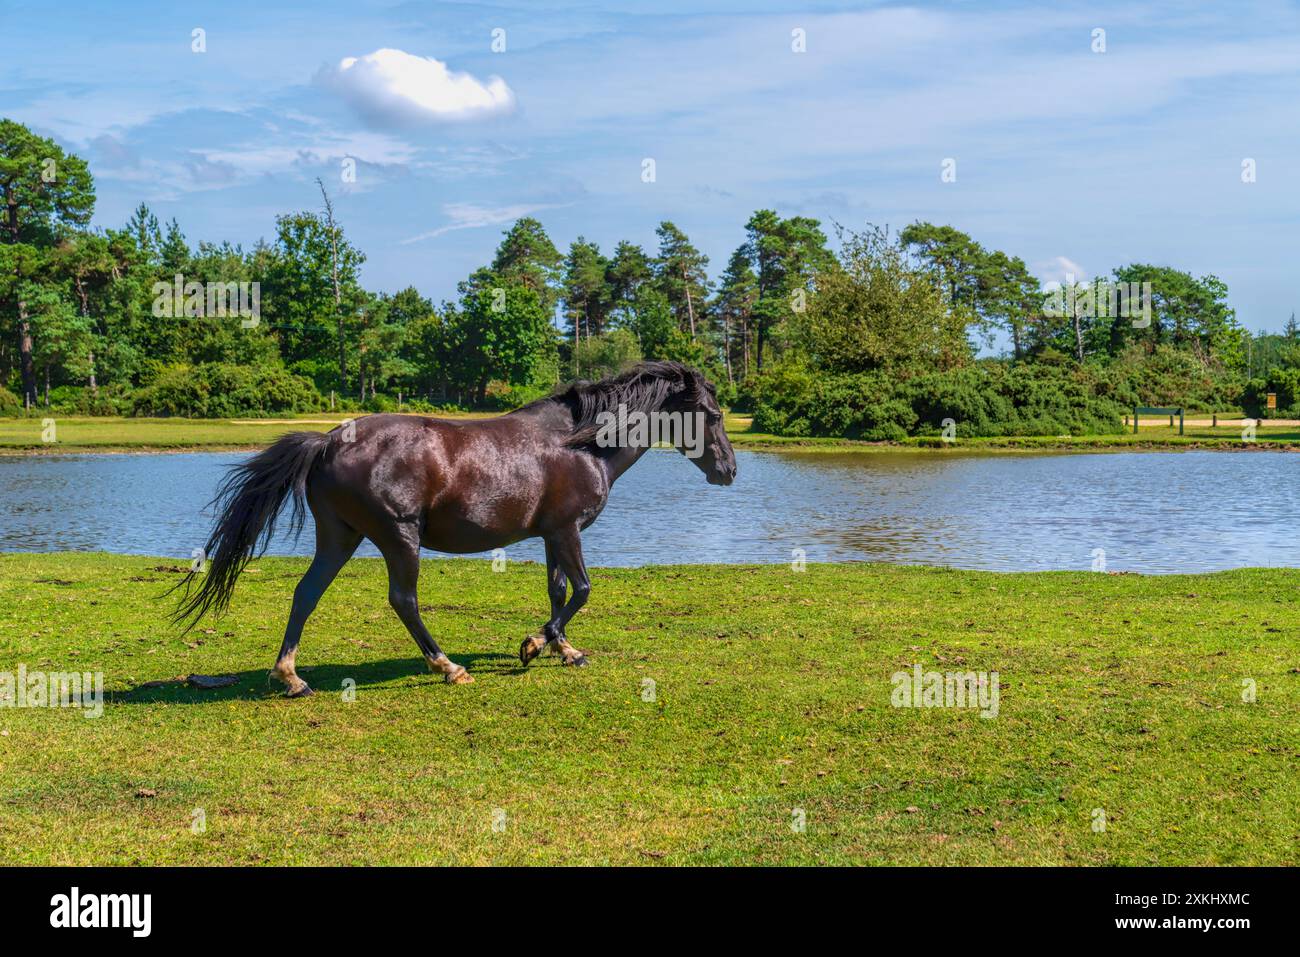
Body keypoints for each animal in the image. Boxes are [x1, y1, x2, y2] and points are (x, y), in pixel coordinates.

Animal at [171, 358, 738, 696]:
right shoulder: (568, 531)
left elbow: (558, 592)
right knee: (403, 600)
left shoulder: (553, 534)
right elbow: (581, 590)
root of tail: (329, 440)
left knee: (306, 593)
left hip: (340, 536)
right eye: (712, 415)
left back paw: (291, 678)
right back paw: (447, 666)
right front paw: (533, 645)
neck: (580, 444)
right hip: (399, 537)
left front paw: (564, 649)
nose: (729, 471)